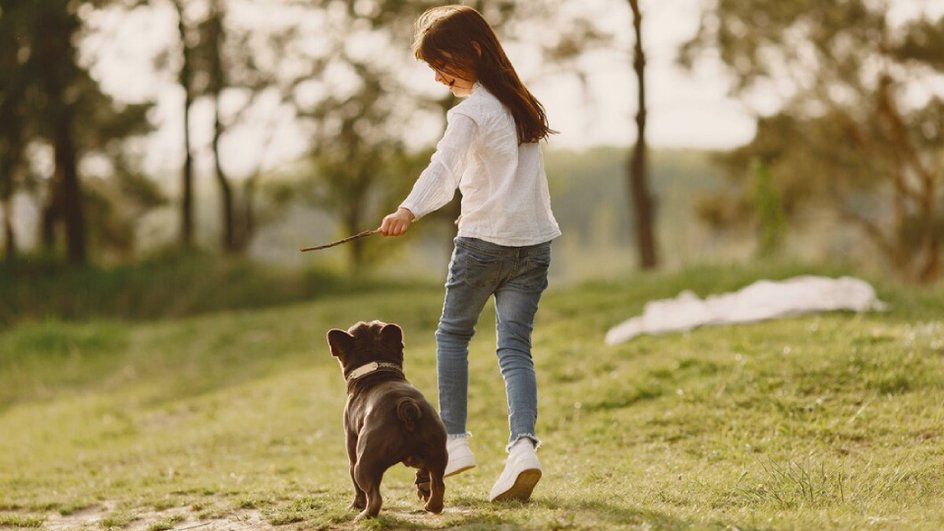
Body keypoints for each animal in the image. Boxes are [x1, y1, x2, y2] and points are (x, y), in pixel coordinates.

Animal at [326, 320, 448, 520]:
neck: (376, 372)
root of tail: (406, 406)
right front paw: (422, 485)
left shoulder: (352, 452)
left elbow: (357, 489)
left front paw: (355, 506)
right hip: (437, 453)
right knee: (438, 484)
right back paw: (432, 506)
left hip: (363, 465)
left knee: (373, 497)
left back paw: (363, 516)